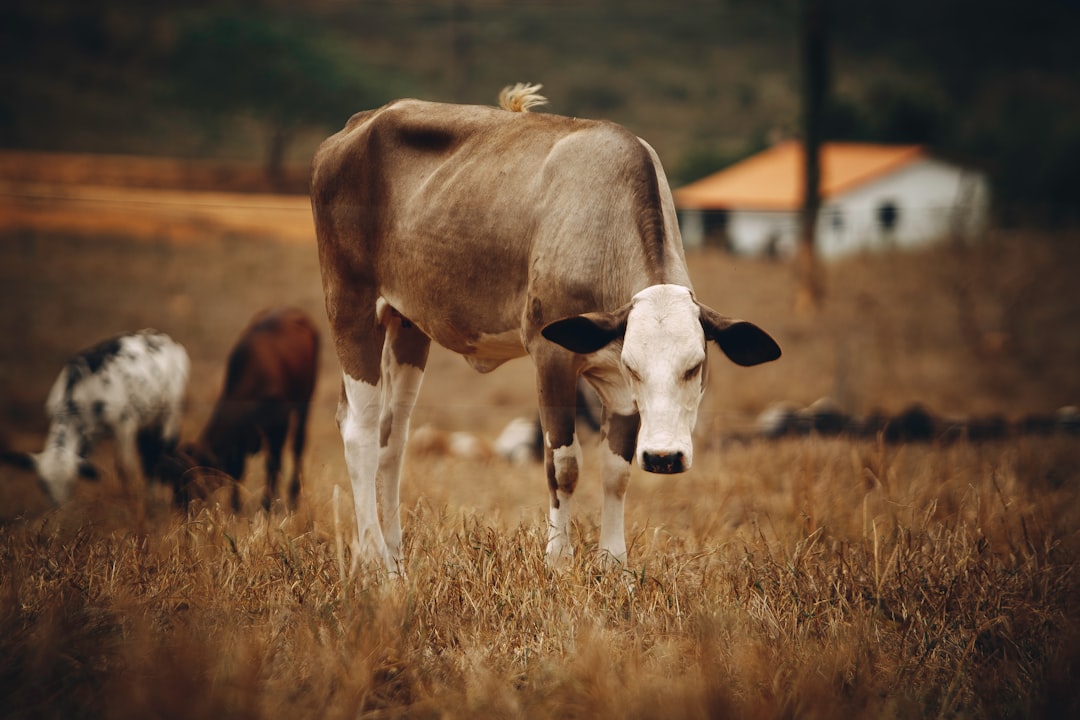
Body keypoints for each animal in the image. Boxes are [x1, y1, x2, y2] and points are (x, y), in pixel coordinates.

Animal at [0, 330, 189, 505]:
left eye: (70, 483)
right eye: (42, 484)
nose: (58, 507)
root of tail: (164, 338)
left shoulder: (124, 423)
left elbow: (126, 468)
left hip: (170, 410)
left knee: (163, 448)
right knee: (149, 450)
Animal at [174, 306, 317, 509]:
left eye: (188, 480)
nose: (179, 507)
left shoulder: (279, 425)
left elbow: (273, 463)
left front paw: (269, 504)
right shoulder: (240, 437)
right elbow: (237, 470)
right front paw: (236, 507)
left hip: (305, 402)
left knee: (297, 447)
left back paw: (293, 496)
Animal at [308, 83, 781, 574]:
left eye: (695, 366)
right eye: (635, 366)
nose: (664, 457)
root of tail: (361, 122)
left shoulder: (615, 387)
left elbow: (617, 471)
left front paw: (614, 564)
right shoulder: (552, 358)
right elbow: (564, 465)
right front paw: (558, 559)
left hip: (407, 326)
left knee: (392, 438)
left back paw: (396, 559)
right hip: (351, 308)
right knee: (360, 431)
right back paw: (373, 558)